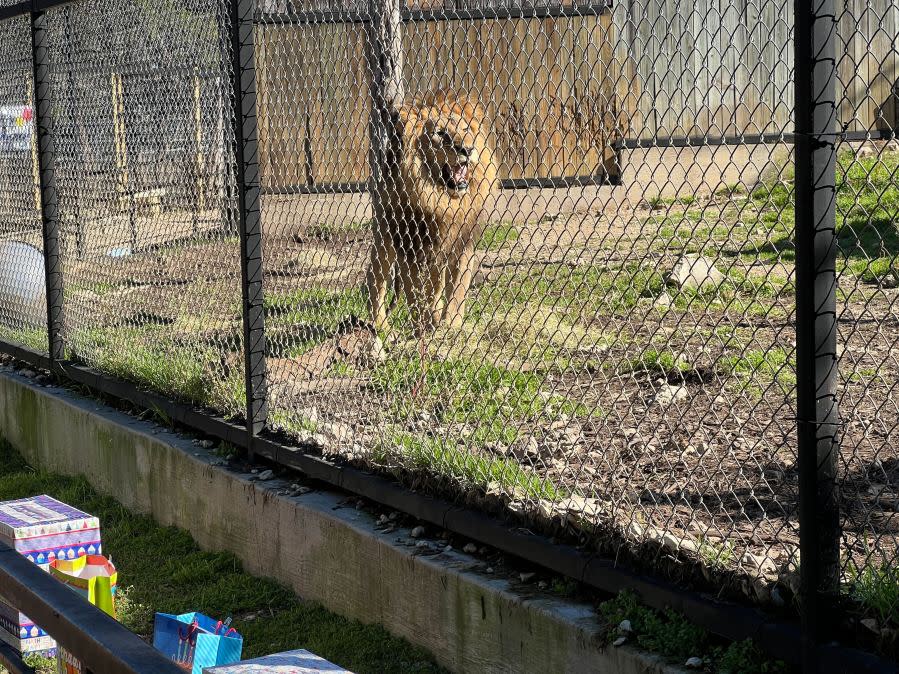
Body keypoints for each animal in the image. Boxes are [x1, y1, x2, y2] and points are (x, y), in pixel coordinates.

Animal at [366, 90, 500, 332]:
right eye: (440, 133)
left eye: (466, 129)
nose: (468, 149)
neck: (443, 202)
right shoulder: (409, 245)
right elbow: (414, 293)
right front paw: (423, 328)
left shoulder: (462, 243)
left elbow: (456, 290)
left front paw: (451, 325)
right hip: (384, 231)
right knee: (376, 277)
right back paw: (381, 326)